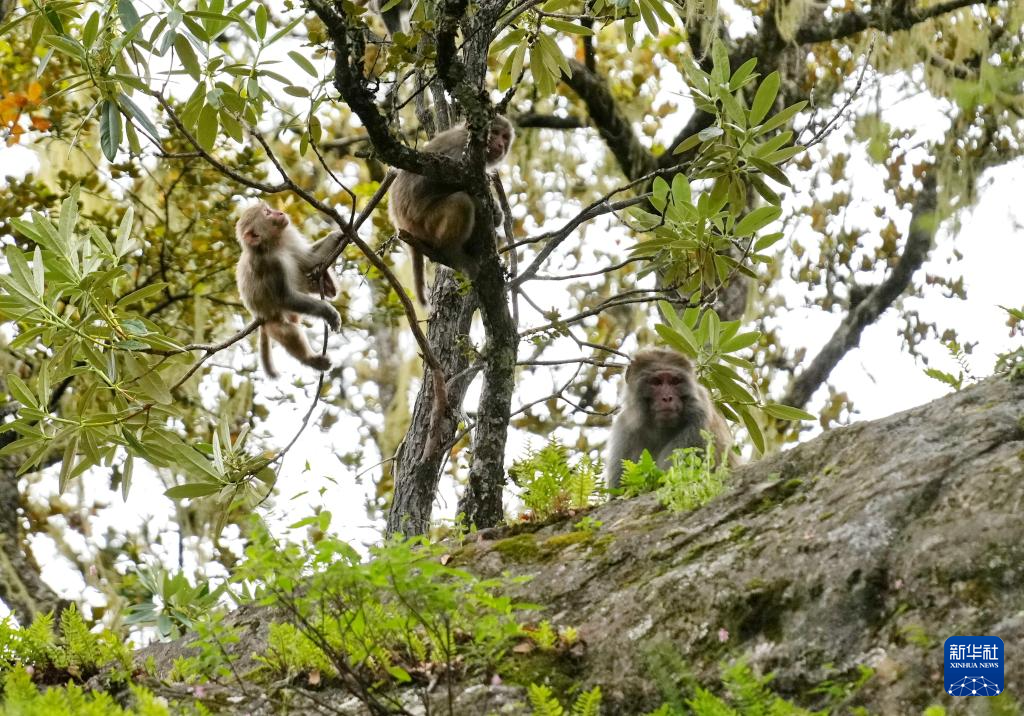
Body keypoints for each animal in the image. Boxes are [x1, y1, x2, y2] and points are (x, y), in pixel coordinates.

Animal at [234, 202, 342, 381]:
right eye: (267, 213)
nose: (279, 212)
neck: (274, 244)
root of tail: (259, 317)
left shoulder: (288, 239)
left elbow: (309, 259)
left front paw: (339, 235)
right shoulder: (270, 264)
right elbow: (285, 298)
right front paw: (328, 312)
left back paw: (327, 284)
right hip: (272, 319)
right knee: (289, 331)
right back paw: (311, 360)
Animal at [385, 114, 516, 303]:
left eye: (505, 137)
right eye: (495, 133)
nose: (500, 144)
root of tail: (400, 223)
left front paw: (497, 213)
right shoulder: (460, 150)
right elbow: (433, 180)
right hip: (424, 223)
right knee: (462, 202)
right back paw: (452, 252)